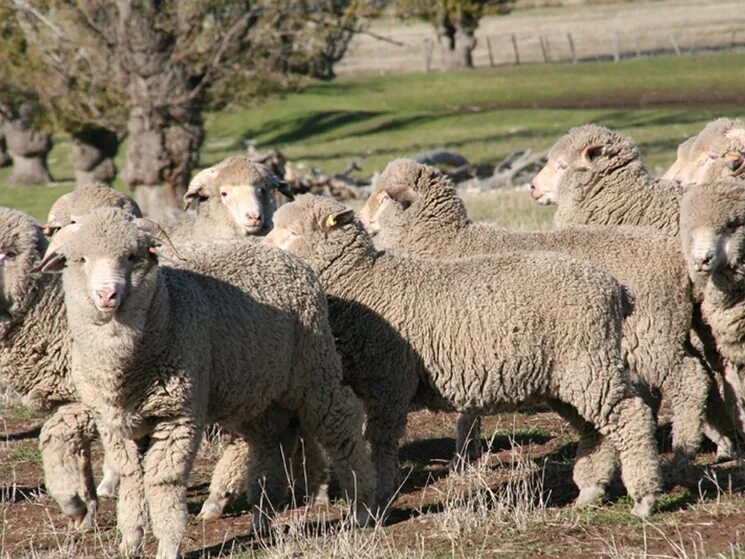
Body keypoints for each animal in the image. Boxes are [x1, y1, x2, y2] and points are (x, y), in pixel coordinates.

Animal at [35, 210, 374, 559]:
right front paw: (130, 540)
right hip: (256, 387)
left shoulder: (177, 415)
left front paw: (168, 545)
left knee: (340, 424)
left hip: (313, 368)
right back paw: (262, 518)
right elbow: (130, 476)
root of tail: (286, 256)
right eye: (80, 259)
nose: (107, 295)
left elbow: (164, 480)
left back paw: (362, 507)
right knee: (270, 441)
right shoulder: (113, 422)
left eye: (132, 256)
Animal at [264, 195, 660, 520]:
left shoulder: (388, 381)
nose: (263, 250)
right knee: (596, 428)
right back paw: (591, 491)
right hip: (568, 377)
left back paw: (644, 497)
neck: (365, 281)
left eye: (293, 232)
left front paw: (378, 500)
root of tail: (616, 289)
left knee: (630, 416)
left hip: (588, 362)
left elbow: (381, 443)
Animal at [364, 161, 736, 468]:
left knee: (689, 378)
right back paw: (725, 442)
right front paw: (466, 453)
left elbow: (466, 412)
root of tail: (677, 257)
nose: (363, 220)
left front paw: (462, 456)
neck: (446, 241)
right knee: (705, 375)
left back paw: (685, 449)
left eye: (383, 197)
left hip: (651, 334)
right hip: (668, 330)